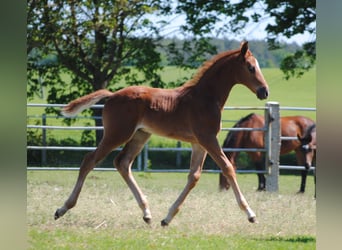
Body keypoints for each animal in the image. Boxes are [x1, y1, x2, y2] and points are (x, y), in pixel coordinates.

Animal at [54, 42, 270, 226]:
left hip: (140, 135)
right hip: (117, 134)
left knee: (122, 163)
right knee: (89, 160)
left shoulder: (198, 142)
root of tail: (112, 95)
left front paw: (167, 218)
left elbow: (194, 176)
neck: (205, 97)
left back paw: (146, 213)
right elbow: (228, 167)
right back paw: (63, 208)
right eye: (251, 67)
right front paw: (250, 214)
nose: (264, 92)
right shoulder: (208, 138)